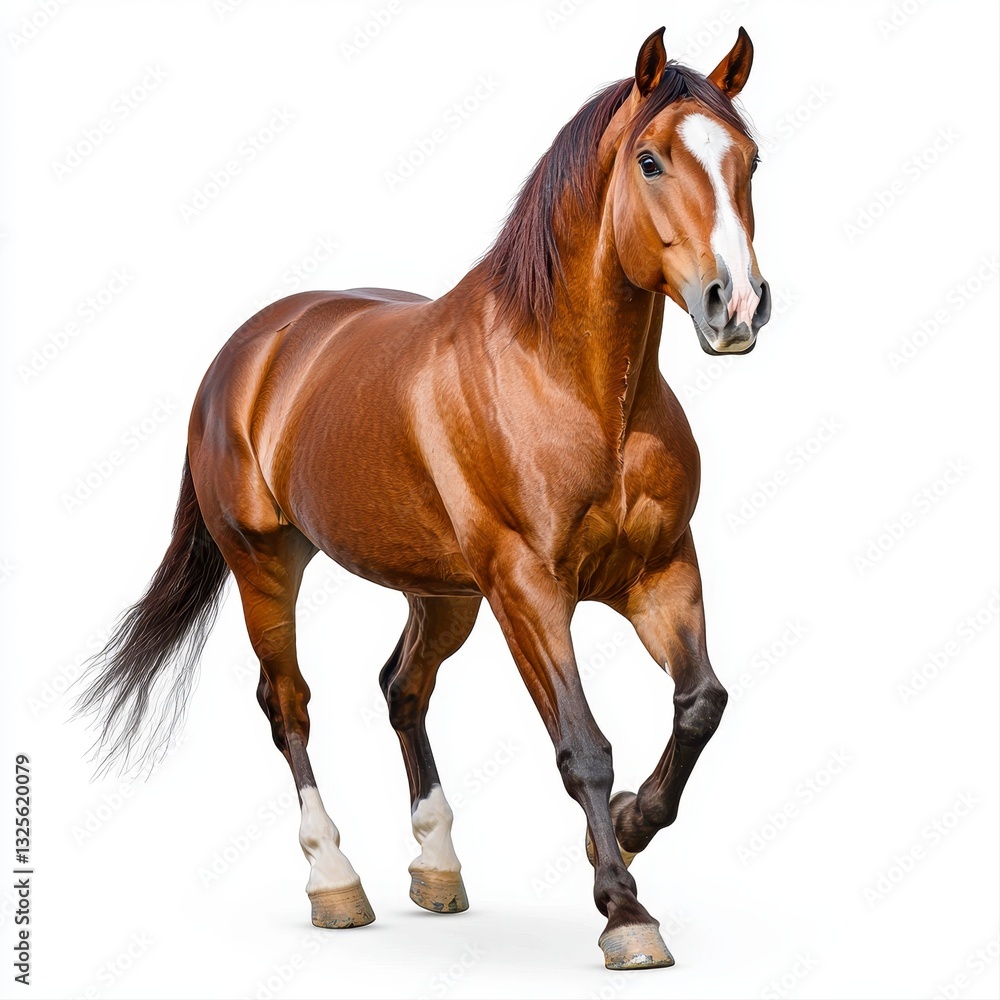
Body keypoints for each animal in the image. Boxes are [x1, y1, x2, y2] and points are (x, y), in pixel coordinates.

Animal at [75, 26, 771, 970]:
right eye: (652, 159)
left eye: (750, 160)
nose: (736, 305)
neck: (580, 390)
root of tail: (248, 350)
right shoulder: (528, 589)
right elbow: (582, 745)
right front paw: (624, 909)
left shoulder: (661, 572)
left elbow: (702, 704)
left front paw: (629, 824)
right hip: (267, 565)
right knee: (288, 706)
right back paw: (335, 881)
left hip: (442, 593)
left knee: (401, 688)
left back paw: (437, 866)